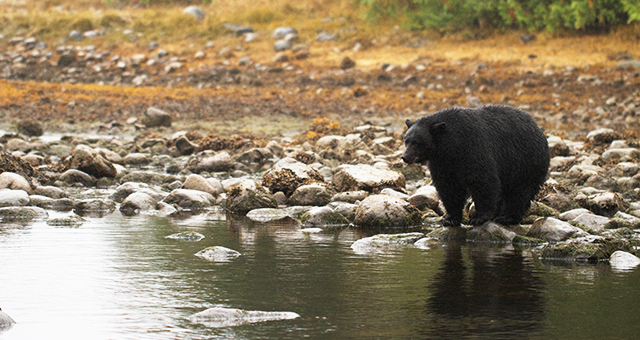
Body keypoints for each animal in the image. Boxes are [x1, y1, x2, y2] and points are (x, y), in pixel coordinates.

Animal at [404, 105, 552, 226]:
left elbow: (483, 181)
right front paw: (450, 219)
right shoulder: (442, 163)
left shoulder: (474, 148)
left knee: (519, 191)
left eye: (417, 142)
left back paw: (507, 217)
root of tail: (538, 129)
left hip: (525, 160)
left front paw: (478, 218)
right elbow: (449, 187)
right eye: (406, 140)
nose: (405, 157)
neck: (452, 145)